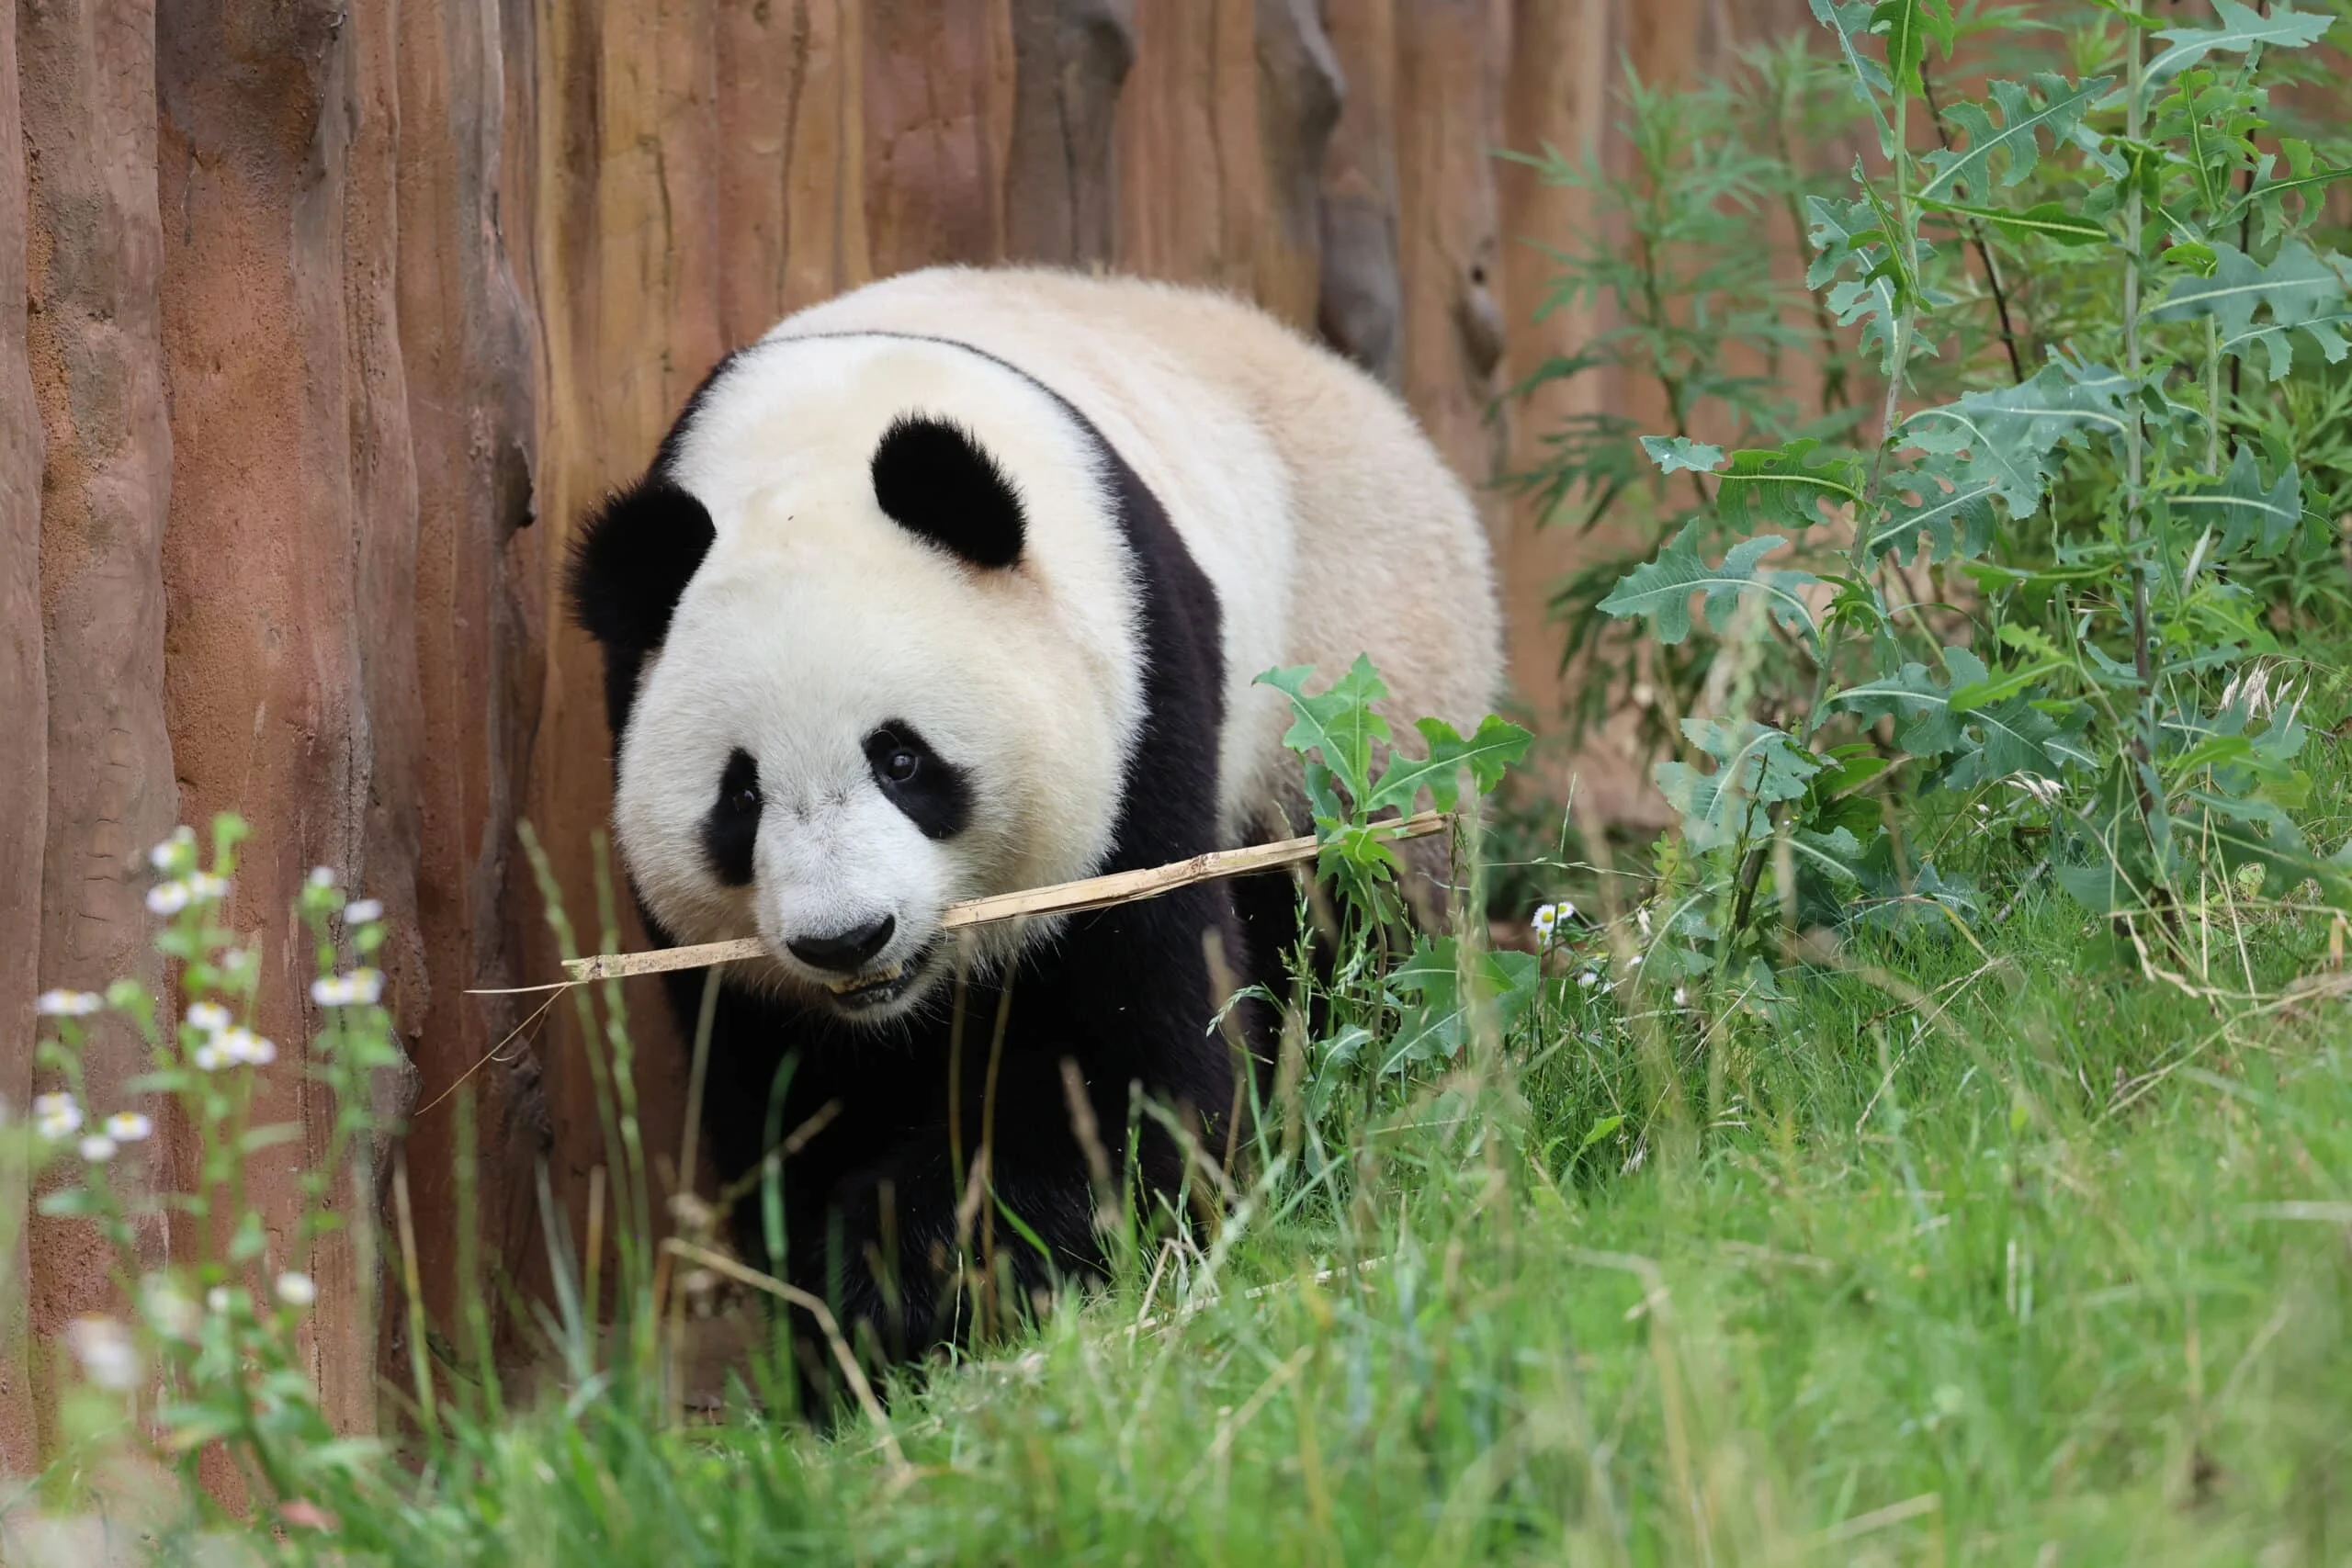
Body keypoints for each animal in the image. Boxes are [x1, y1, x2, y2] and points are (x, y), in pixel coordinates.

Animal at [569, 266, 1500, 1384]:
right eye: (738, 796)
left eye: (901, 760)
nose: (847, 940)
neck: (820, 446)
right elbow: (783, 1097)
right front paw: (842, 1324)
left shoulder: (1139, 710)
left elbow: (1133, 1064)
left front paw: (924, 1266)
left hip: (1355, 673)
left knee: (1353, 919)